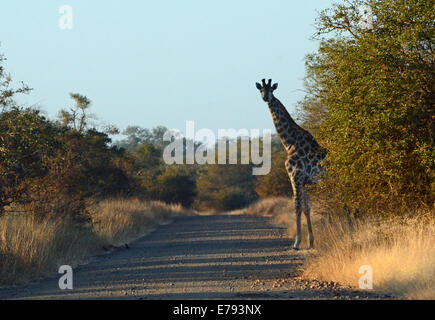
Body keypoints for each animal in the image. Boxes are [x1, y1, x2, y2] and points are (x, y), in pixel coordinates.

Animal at [255, 79, 328, 249]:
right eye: (261, 89)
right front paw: (311, 242)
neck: (290, 143)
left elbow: (297, 207)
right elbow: (307, 208)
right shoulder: (304, 181)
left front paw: (297, 242)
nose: (265, 97)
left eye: (271, 90)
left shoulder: (295, 177)